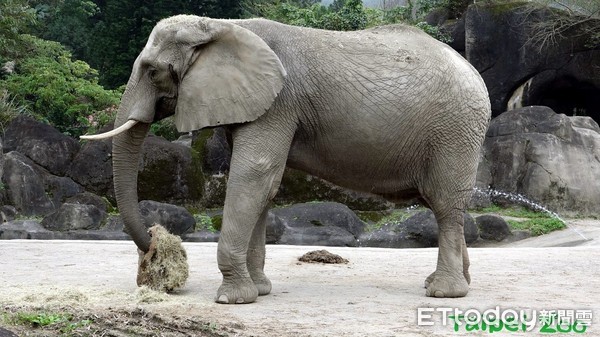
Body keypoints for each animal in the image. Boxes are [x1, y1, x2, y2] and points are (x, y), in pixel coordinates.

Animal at [82, 15, 490, 304]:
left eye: (152, 71)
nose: (153, 242)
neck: (222, 25)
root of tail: (473, 71)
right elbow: (264, 186)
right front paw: (260, 290)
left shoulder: (279, 102)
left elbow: (254, 173)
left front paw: (232, 299)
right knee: (447, 206)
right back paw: (455, 283)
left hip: (454, 130)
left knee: (445, 204)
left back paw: (444, 292)